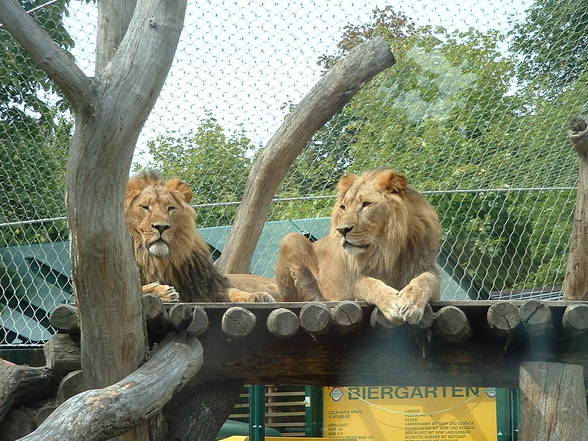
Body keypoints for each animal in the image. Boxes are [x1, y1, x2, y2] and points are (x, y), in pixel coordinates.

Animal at [123, 171, 278, 302]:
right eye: (145, 207)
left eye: (171, 208)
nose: (161, 227)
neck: (155, 261)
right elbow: (139, 290)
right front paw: (161, 291)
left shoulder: (209, 288)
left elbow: (233, 291)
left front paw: (258, 296)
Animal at [276, 168, 440, 324]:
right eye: (343, 207)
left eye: (366, 204)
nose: (342, 230)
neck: (386, 248)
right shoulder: (354, 280)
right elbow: (370, 284)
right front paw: (391, 302)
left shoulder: (425, 270)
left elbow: (426, 279)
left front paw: (411, 303)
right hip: (290, 239)